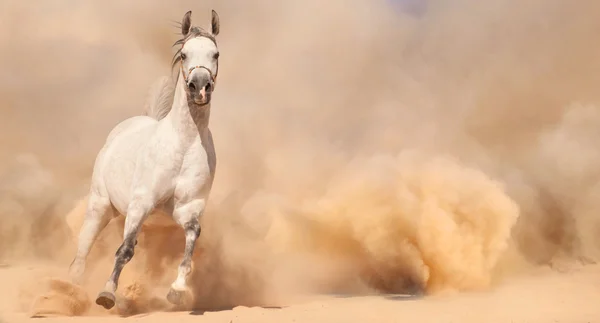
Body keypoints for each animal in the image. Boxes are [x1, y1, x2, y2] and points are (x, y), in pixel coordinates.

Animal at [68, 8, 223, 310]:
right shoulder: (142, 203)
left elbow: (190, 245)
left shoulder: (188, 209)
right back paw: (72, 289)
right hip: (100, 206)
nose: (200, 87)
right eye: (184, 54)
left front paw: (177, 291)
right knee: (83, 249)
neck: (183, 146)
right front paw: (106, 294)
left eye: (216, 54)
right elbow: (124, 251)